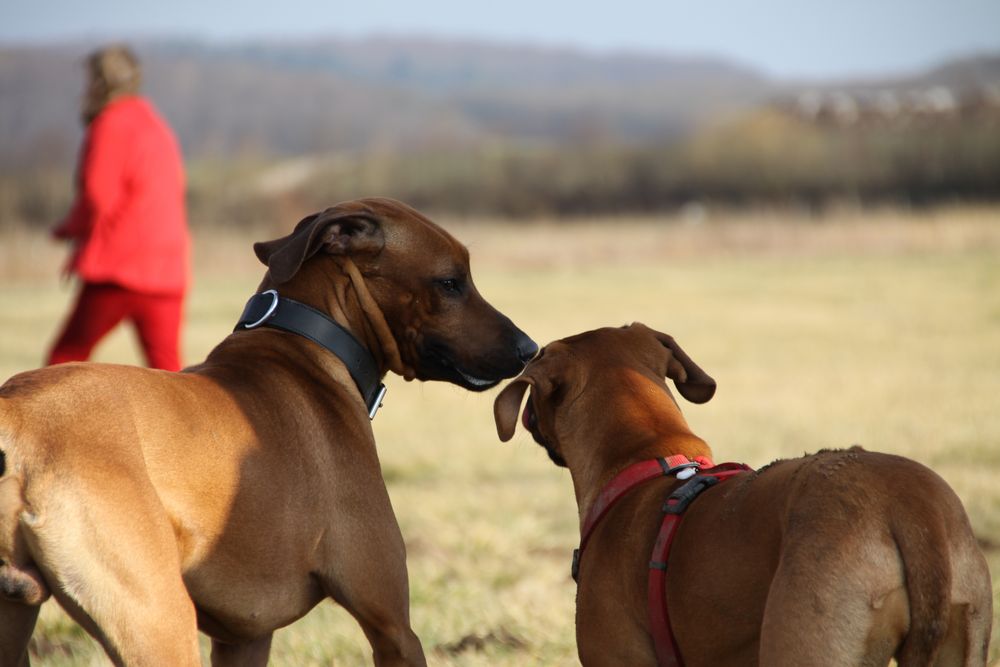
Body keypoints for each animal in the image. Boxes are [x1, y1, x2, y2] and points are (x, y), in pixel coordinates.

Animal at [0, 198, 540, 667]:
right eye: (451, 282)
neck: (305, 343)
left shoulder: (246, 636)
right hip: (157, 621)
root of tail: (17, 419)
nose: (529, 348)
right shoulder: (392, 627)